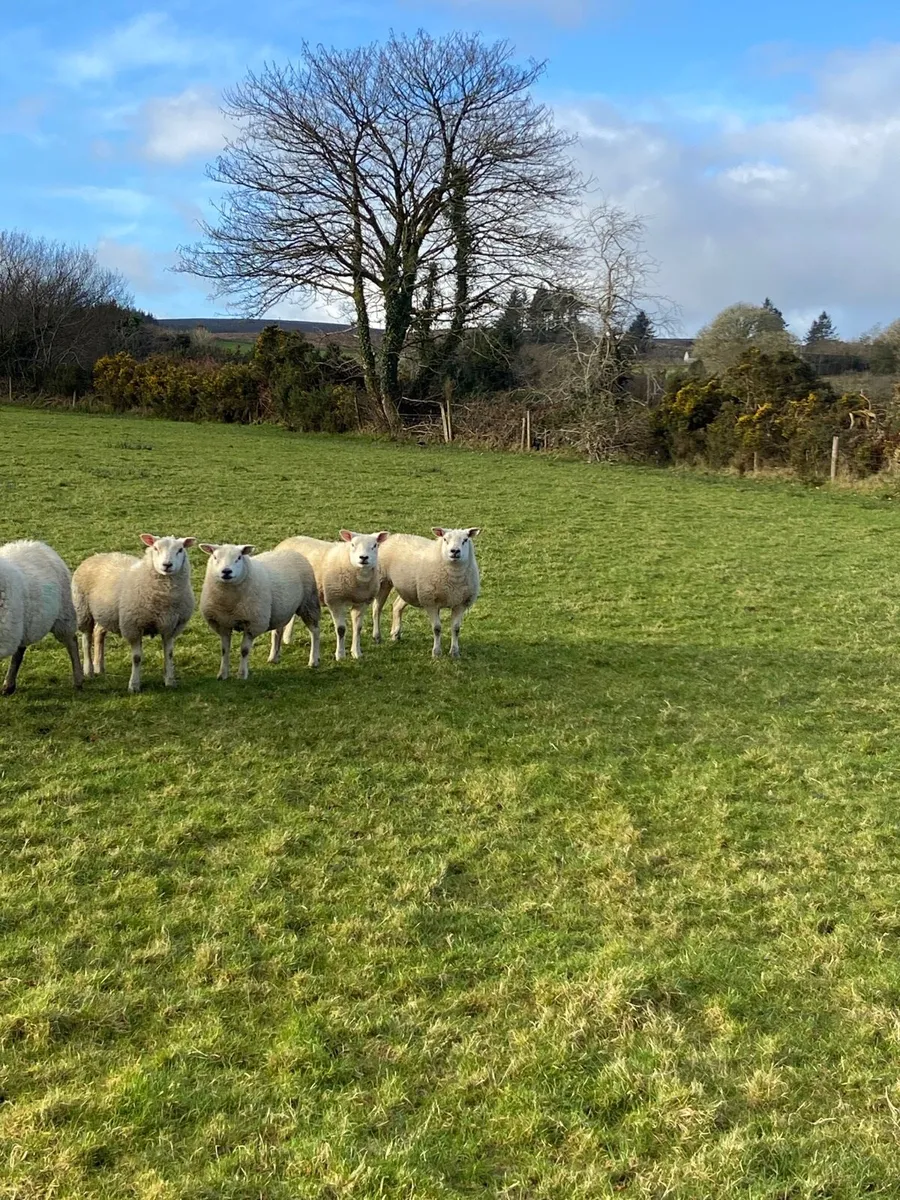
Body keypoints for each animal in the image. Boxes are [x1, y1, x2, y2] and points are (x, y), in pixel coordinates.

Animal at [0, 540, 83, 694]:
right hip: (26, 626)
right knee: (19, 652)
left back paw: (79, 680)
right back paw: (9, 685)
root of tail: (36, 543)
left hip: (64, 616)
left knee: (72, 642)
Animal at [72, 534, 196, 693]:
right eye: (155, 548)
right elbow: (137, 658)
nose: (167, 565)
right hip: (83, 610)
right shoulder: (133, 626)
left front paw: (170, 681)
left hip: (107, 613)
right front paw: (134, 685)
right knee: (86, 639)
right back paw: (89, 670)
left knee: (98, 633)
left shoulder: (170, 627)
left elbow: (169, 654)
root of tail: (97, 555)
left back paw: (100, 667)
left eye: (180, 550)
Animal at [199, 543, 320, 679]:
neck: (230, 604)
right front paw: (222, 674)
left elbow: (244, 650)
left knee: (315, 631)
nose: (226, 571)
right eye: (215, 557)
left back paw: (314, 660)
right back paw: (274, 657)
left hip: (308, 603)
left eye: (239, 557)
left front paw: (242, 674)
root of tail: (291, 551)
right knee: (278, 631)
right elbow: (224, 650)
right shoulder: (222, 624)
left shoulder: (253, 624)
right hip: (280, 611)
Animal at [277, 530, 389, 661]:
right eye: (352, 545)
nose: (363, 557)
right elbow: (341, 629)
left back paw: (287, 638)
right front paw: (340, 655)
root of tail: (287, 540)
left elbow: (358, 628)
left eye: (375, 545)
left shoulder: (362, 602)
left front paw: (356, 653)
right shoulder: (335, 600)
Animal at [372, 527, 481, 658]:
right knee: (377, 608)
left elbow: (456, 629)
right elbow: (437, 628)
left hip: (408, 588)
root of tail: (394, 536)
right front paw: (436, 652)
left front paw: (455, 652)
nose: (454, 551)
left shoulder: (460, 604)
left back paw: (395, 633)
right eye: (445, 539)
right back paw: (377, 636)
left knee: (397, 606)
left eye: (465, 540)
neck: (454, 579)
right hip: (383, 581)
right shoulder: (431, 602)